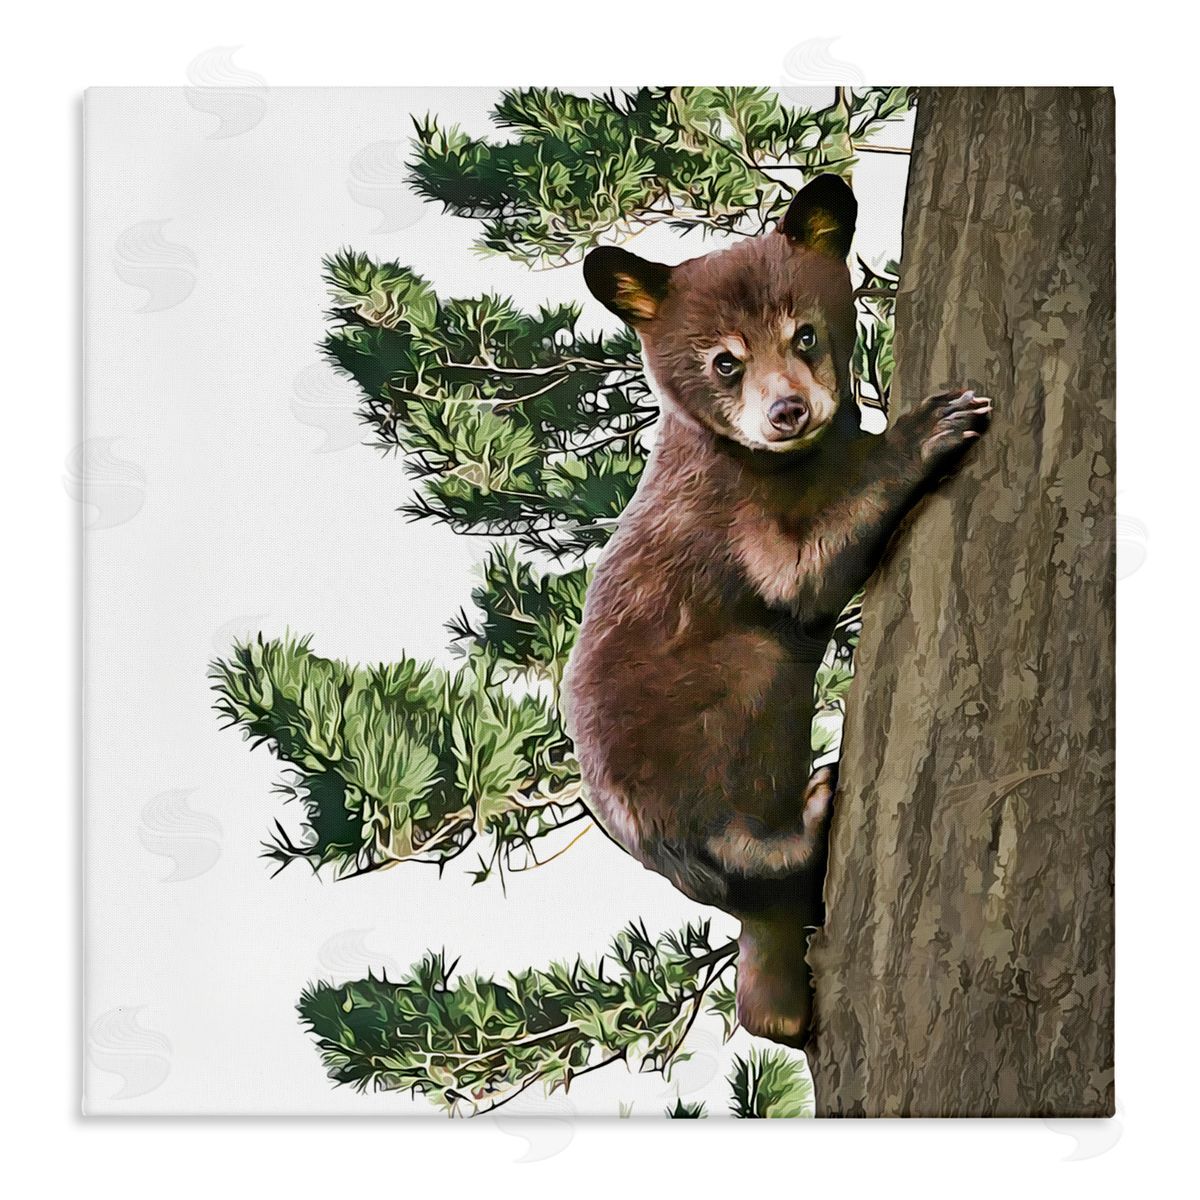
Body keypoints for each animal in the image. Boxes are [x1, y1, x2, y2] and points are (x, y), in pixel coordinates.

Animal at [563, 174, 991, 1048]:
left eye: (805, 335)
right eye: (724, 362)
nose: (787, 411)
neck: (790, 460)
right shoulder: (728, 512)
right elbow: (801, 574)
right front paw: (930, 427)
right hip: (705, 738)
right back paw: (812, 816)